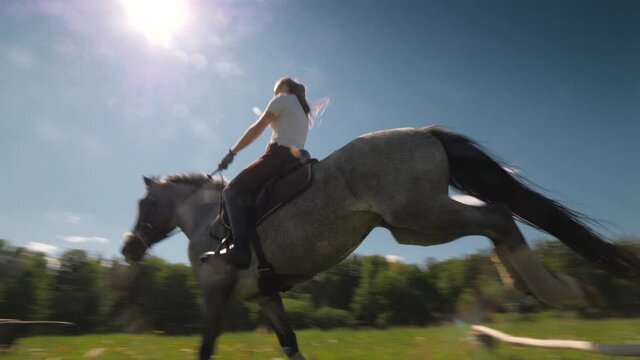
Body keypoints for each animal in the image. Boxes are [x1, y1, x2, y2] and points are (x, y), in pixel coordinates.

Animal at [121, 125, 640, 358]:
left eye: (145, 206)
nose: (128, 249)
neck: (205, 220)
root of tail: (425, 134)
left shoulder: (216, 294)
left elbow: (207, 346)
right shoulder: (266, 296)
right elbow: (289, 343)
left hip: (419, 218)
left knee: (497, 217)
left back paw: (553, 290)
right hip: (416, 226)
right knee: (500, 218)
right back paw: (537, 288)